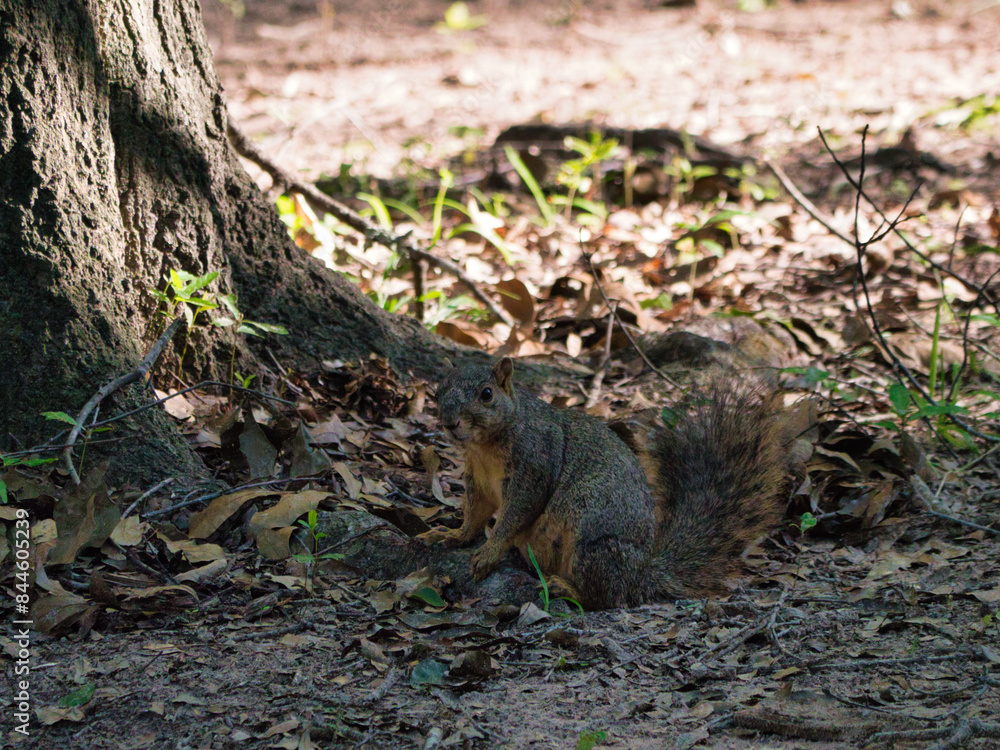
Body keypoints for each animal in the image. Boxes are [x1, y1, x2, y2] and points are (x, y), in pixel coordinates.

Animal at [417, 356, 786, 609]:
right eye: (437, 391)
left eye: (487, 394)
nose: (449, 423)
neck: (486, 446)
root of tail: (643, 575)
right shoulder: (478, 480)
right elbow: (476, 513)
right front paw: (453, 535)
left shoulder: (534, 466)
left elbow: (514, 515)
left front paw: (489, 552)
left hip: (593, 543)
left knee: (608, 598)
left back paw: (567, 589)